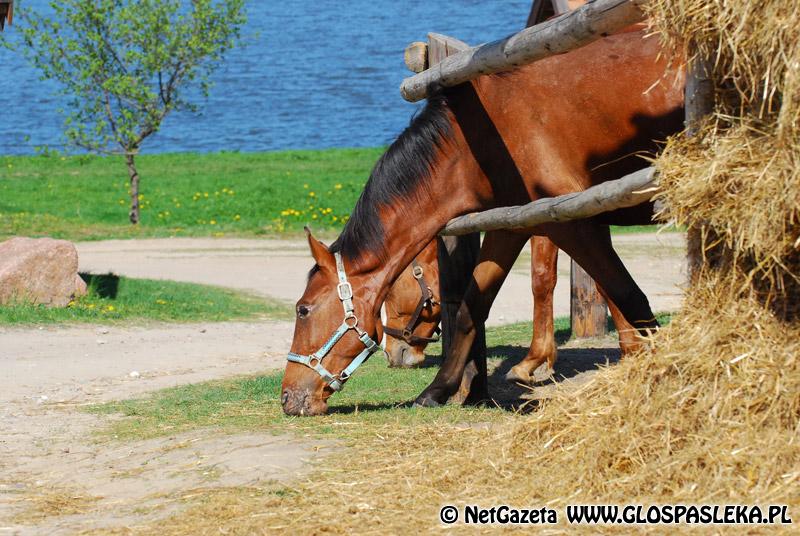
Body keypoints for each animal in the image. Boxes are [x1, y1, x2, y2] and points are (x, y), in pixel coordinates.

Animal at [282, 28, 680, 414]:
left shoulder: (574, 222)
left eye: (303, 310)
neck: (483, 132)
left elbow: (628, 296)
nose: (286, 397)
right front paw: (436, 390)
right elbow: (470, 309)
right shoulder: (511, 225)